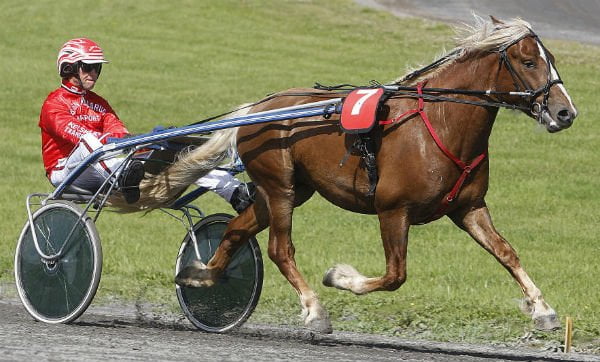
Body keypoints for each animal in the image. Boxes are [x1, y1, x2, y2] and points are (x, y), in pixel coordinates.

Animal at [172, 17, 576, 334]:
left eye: (553, 60)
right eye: (529, 61)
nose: (565, 112)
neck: (441, 124)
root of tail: (258, 108)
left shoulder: (469, 208)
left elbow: (507, 252)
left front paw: (542, 309)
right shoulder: (393, 210)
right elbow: (395, 276)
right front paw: (339, 276)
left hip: (288, 190)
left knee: (235, 229)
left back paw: (202, 274)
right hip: (280, 188)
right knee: (279, 249)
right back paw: (314, 309)